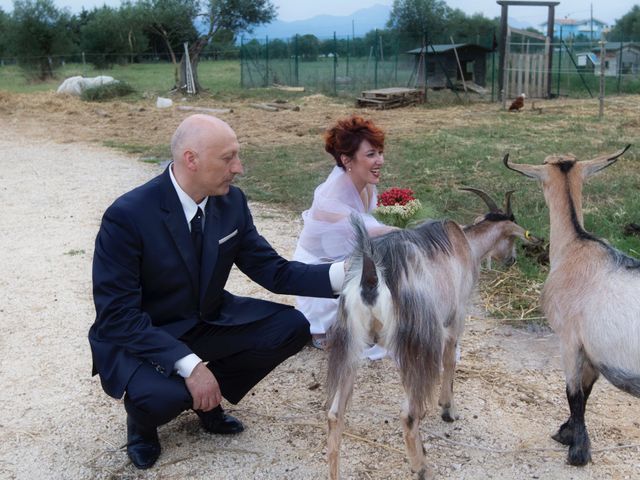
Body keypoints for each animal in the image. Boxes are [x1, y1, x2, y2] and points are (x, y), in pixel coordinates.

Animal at [324, 189, 536, 478]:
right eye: (511, 238)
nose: (512, 259)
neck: (466, 244)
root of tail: (371, 277)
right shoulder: (454, 320)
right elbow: (450, 362)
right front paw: (448, 409)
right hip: (418, 338)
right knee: (407, 414)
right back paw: (422, 467)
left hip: (352, 343)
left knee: (336, 414)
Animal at [502, 146, 636, 464]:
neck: (576, 245)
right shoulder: (593, 349)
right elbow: (586, 391)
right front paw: (569, 433)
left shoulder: (569, 338)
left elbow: (573, 392)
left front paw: (576, 449)